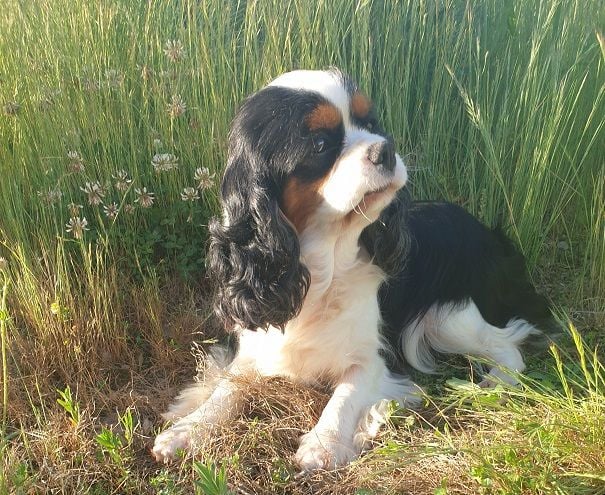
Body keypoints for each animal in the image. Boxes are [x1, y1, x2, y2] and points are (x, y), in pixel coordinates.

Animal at [152, 69, 552, 468]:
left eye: (370, 124)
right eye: (319, 144)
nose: (385, 148)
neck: (323, 263)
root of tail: (489, 233)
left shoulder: (375, 356)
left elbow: (346, 393)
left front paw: (324, 442)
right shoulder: (258, 341)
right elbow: (227, 388)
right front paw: (188, 428)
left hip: (447, 319)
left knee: (509, 345)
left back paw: (493, 385)